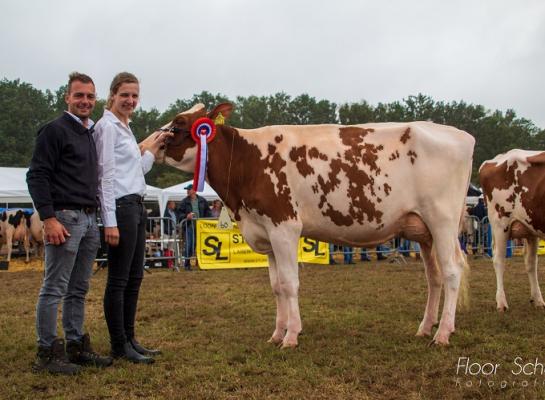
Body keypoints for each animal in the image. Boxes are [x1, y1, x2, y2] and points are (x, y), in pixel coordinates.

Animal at [152, 103, 472, 346]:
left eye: (179, 123)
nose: (151, 143)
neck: (249, 161)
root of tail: (460, 135)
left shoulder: (284, 227)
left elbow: (290, 283)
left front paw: (291, 336)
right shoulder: (266, 233)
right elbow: (276, 286)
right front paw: (277, 333)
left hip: (442, 220)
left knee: (452, 272)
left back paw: (443, 334)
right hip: (425, 232)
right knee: (434, 277)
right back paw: (426, 327)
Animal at [478, 150, 544, 312]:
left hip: (531, 227)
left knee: (531, 262)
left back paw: (538, 300)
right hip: (500, 223)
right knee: (499, 260)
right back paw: (501, 303)